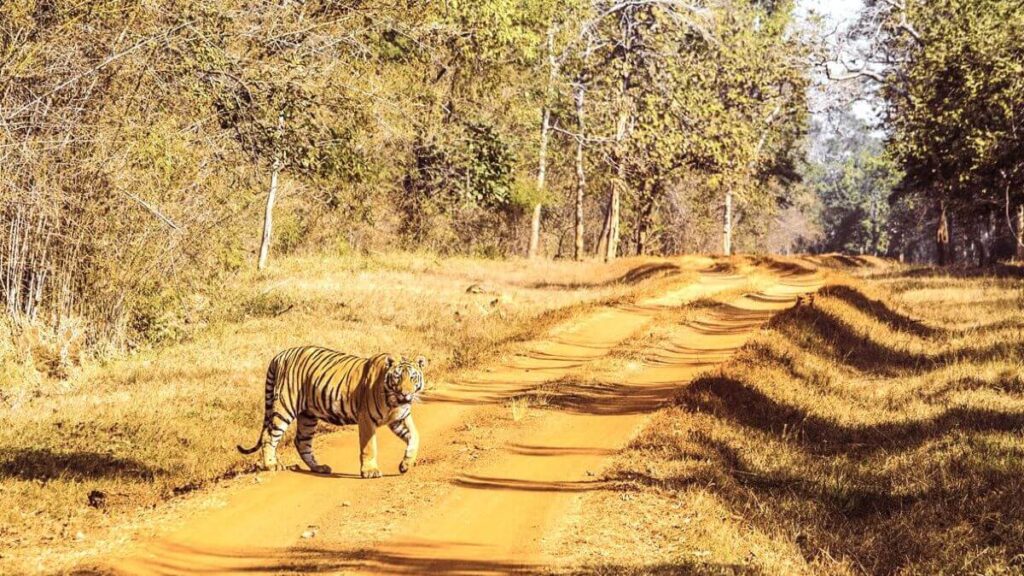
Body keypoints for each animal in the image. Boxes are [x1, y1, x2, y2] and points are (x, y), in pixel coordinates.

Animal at [236, 344, 428, 475]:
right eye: (397, 377)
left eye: (412, 377)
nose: (405, 394)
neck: (395, 402)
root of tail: (280, 354)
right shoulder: (366, 418)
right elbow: (369, 446)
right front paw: (370, 471)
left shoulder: (400, 418)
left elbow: (415, 436)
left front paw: (406, 464)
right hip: (285, 407)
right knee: (269, 435)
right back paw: (272, 465)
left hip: (308, 415)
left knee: (301, 441)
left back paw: (319, 467)